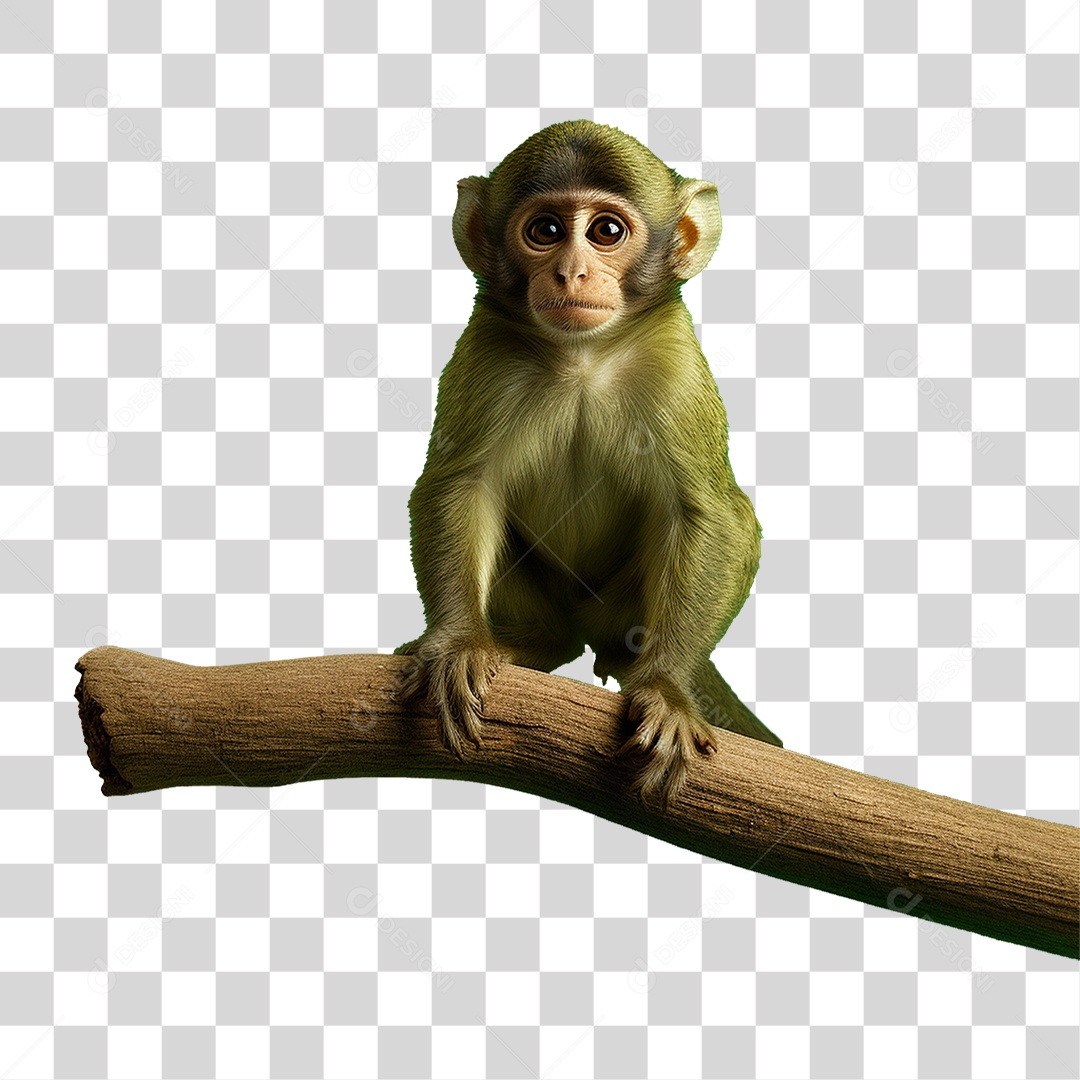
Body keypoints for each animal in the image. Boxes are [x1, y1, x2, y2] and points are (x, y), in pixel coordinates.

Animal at [393, 119, 782, 805]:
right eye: (546, 231)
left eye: (605, 231)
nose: (572, 273)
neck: (582, 358)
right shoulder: (486, 352)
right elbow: (460, 486)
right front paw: (459, 643)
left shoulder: (674, 365)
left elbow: (713, 513)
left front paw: (668, 692)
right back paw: (529, 645)